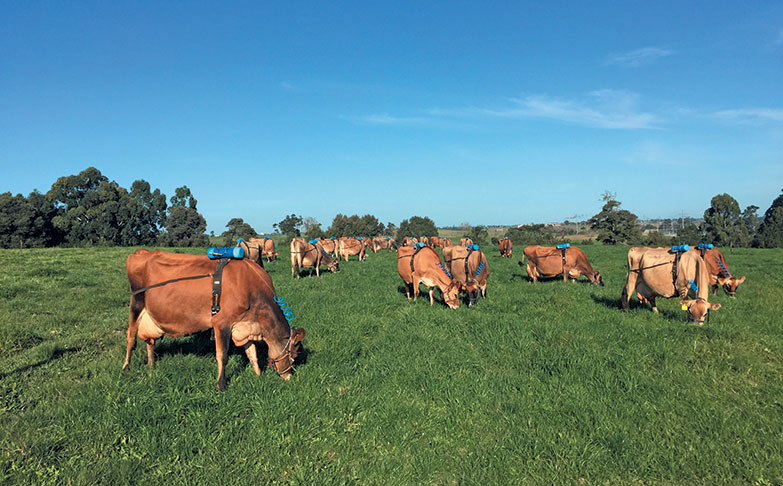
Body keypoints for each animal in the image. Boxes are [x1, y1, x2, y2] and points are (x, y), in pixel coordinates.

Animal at [123, 249, 306, 390]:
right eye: (295, 354)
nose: (289, 377)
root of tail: (141, 252)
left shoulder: (245, 325)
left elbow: (252, 353)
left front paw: (258, 375)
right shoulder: (221, 323)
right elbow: (222, 355)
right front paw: (221, 385)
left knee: (150, 341)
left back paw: (151, 365)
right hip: (136, 303)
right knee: (131, 336)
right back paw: (126, 367)